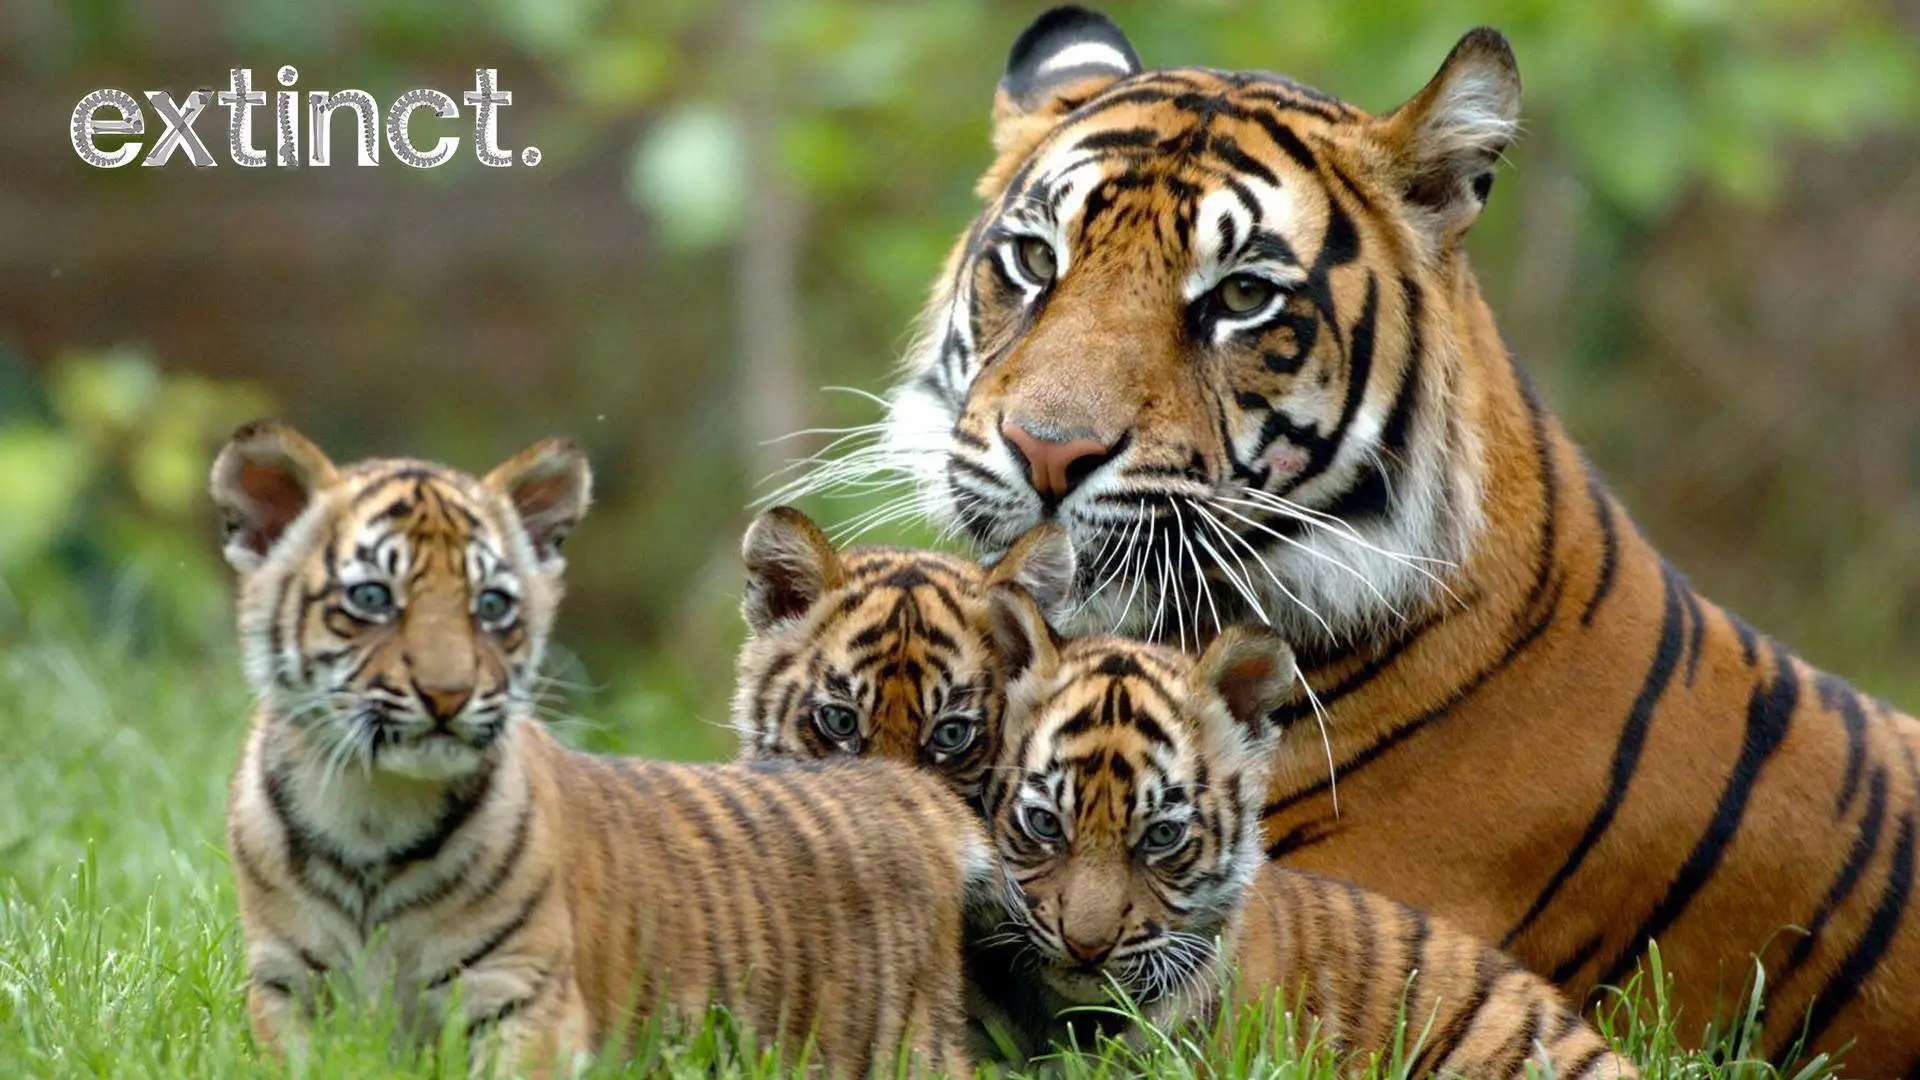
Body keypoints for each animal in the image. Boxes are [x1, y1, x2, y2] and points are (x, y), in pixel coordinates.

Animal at [211, 421, 984, 1078]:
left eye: (492, 606)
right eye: (372, 598)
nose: (449, 695)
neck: (374, 811)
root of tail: (903, 791)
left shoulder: (520, 997)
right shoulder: (289, 992)